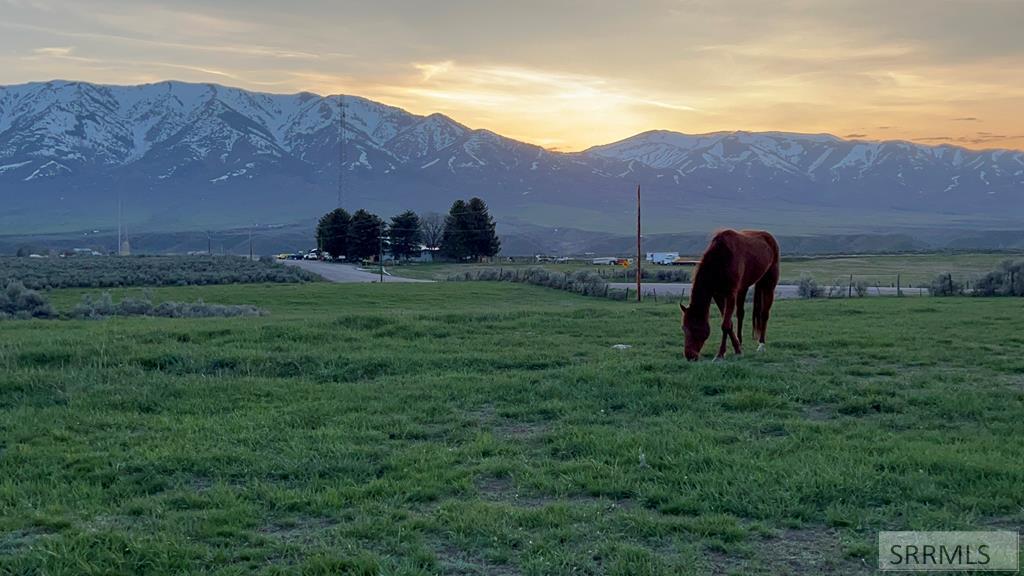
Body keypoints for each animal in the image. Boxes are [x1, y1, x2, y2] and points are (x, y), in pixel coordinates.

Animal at [679, 227, 774, 358]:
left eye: (696, 328)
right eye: (683, 328)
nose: (689, 355)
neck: (720, 259)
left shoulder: (730, 294)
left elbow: (725, 325)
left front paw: (720, 354)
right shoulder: (718, 295)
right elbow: (729, 324)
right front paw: (737, 349)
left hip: (769, 283)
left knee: (764, 314)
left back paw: (761, 345)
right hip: (743, 288)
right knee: (741, 314)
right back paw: (741, 341)